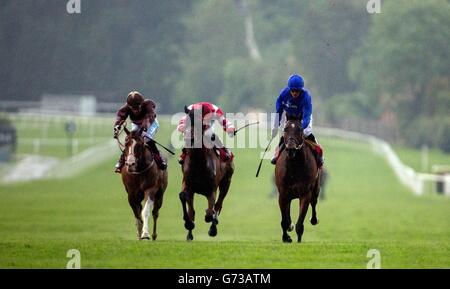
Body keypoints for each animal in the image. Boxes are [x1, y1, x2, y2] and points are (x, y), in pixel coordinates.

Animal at [179, 106, 236, 241]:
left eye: (200, 123)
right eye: (186, 121)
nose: (189, 138)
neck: (198, 163)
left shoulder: (211, 189)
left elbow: (210, 212)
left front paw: (210, 221)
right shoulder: (187, 184)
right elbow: (184, 199)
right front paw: (188, 224)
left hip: (226, 182)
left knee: (218, 205)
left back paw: (213, 228)